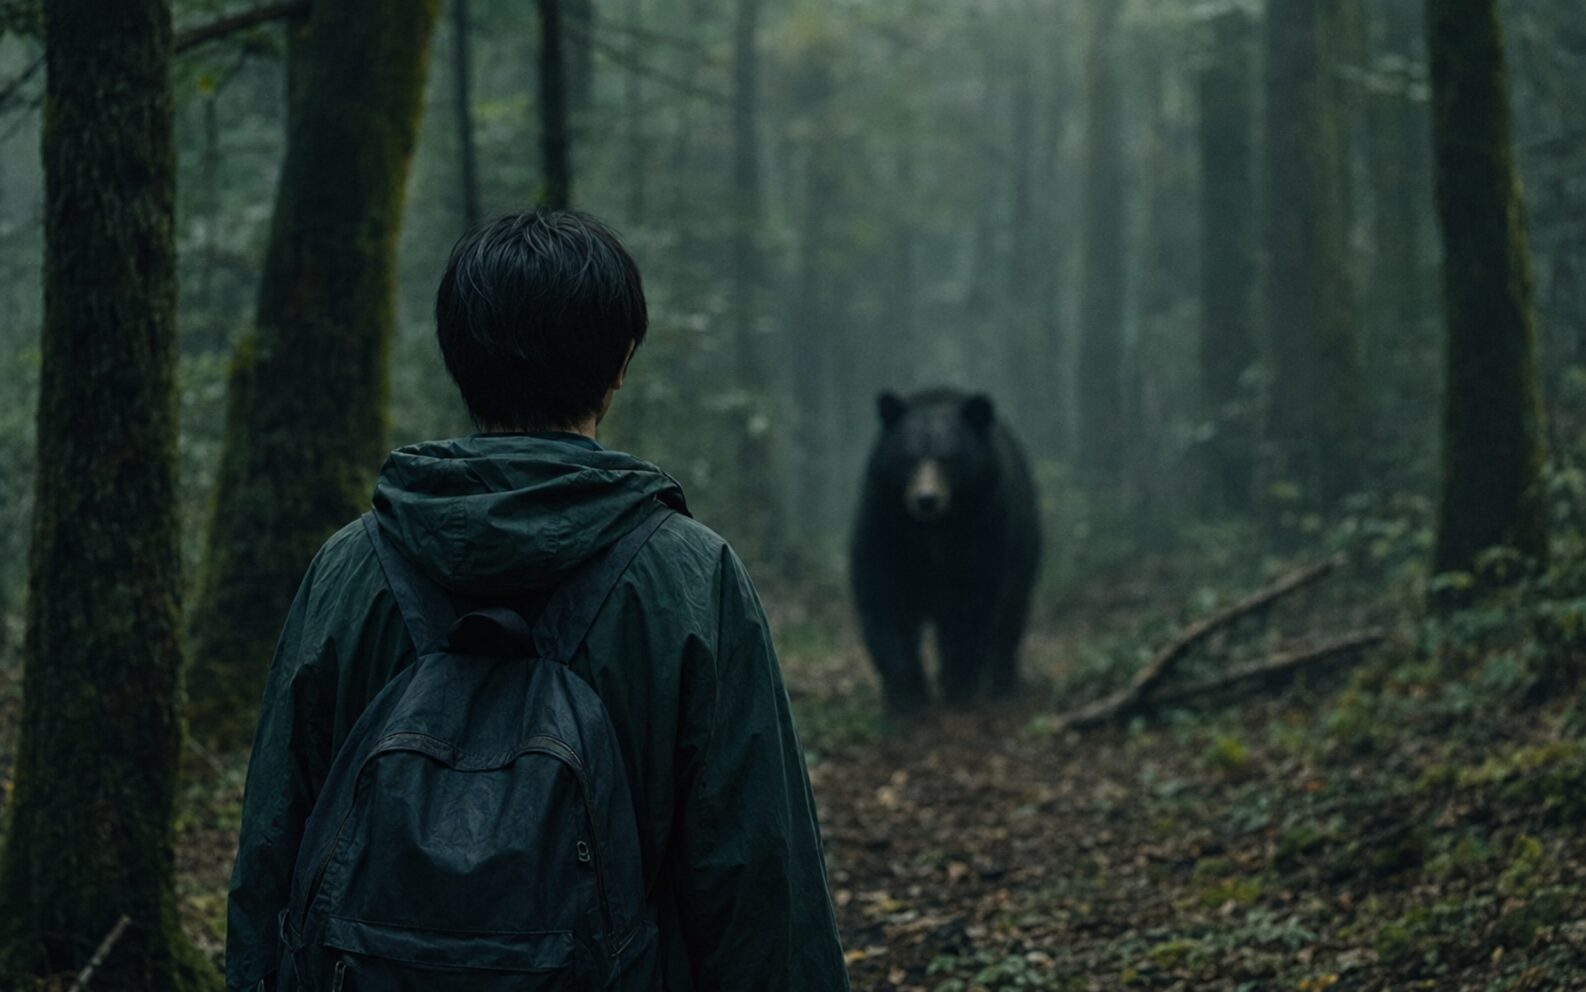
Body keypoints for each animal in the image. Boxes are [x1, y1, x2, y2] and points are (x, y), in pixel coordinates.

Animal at [850, 387, 1042, 712]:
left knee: (1012, 613)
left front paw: (958, 684)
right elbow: (884, 599)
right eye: (910, 458)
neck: (935, 530)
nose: (926, 499)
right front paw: (906, 693)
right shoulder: (884, 525)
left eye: (948, 459)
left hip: (1025, 544)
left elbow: (972, 602)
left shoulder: (984, 527)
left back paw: (1003, 683)